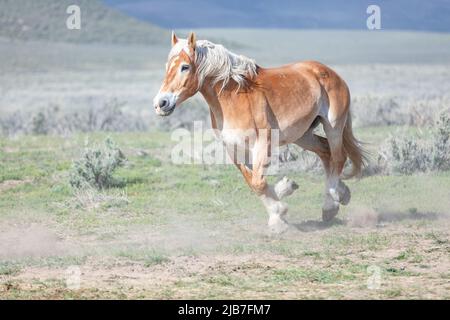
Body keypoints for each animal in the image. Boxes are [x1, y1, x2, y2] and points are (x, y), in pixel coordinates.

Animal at [154, 31, 366, 232]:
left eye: (185, 67)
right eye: (167, 66)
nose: (160, 103)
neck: (233, 97)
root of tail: (329, 72)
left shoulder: (262, 144)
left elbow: (258, 182)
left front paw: (278, 215)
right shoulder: (233, 149)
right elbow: (253, 182)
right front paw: (280, 204)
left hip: (333, 126)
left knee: (338, 158)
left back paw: (330, 206)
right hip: (302, 135)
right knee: (326, 152)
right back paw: (341, 194)